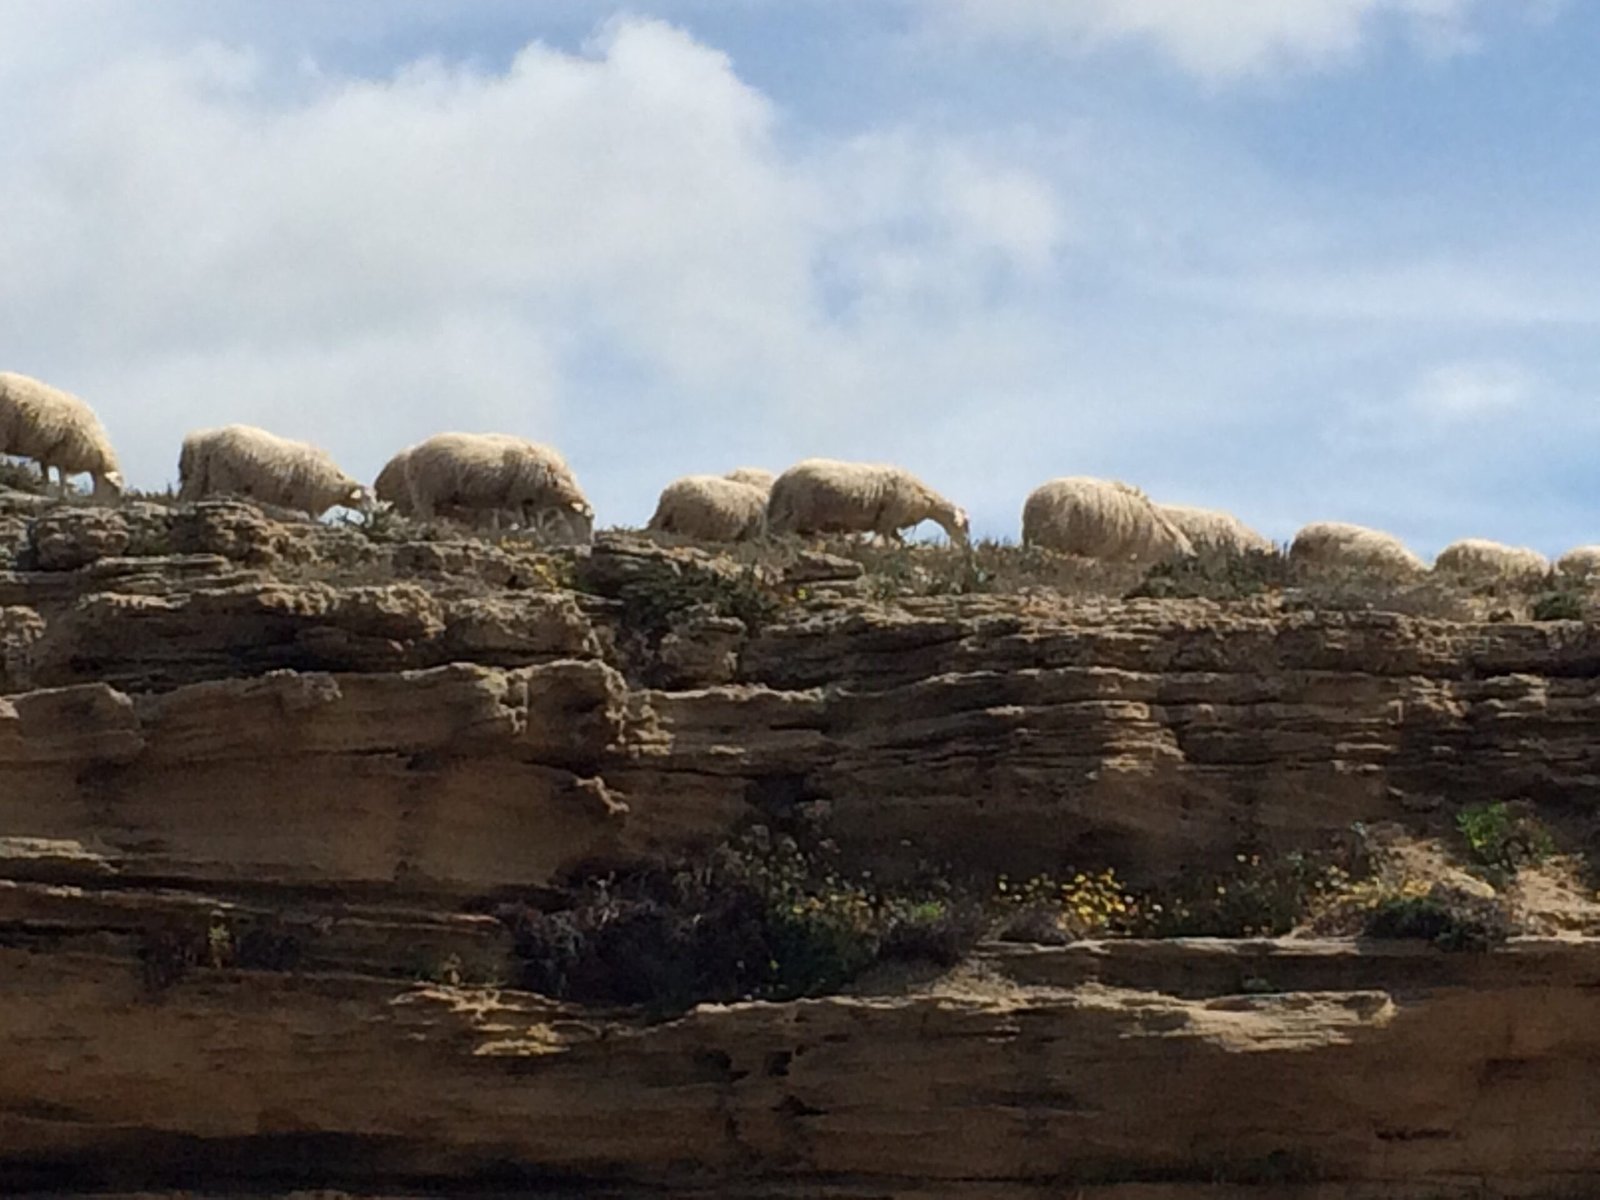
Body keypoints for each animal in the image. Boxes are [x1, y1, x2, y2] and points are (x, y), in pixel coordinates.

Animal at [178, 424, 368, 518]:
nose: (371, 513)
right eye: (367, 497)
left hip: (200, 478)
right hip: (222, 479)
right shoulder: (309, 504)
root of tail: (203, 440)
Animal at [401, 432, 593, 541]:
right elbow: (522, 521)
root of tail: (414, 453)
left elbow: (532, 521)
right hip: (426, 490)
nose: (588, 542)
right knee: (425, 515)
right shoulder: (517, 496)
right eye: (588, 518)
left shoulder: (530, 501)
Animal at [765, 458, 970, 545]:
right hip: (799, 511)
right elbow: (884, 543)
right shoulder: (888, 520)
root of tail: (782, 480)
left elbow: (899, 542)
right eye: (964, 525)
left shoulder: (888, 524)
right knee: (781, 533)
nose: (965, 546)